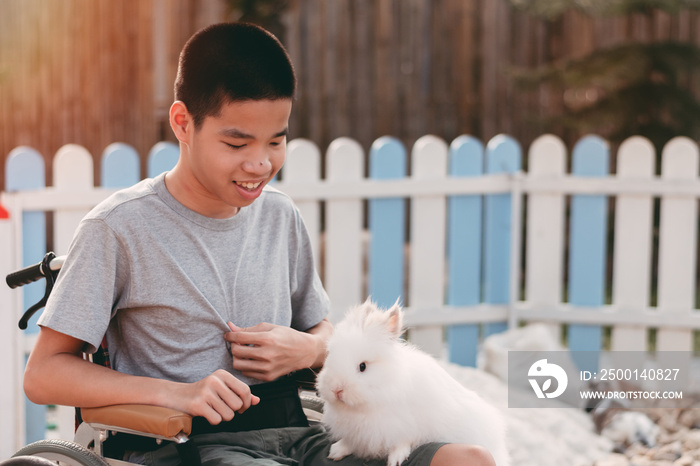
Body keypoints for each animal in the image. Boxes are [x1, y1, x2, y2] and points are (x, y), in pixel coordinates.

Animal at [318, 298, 508, 466]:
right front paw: (336, 451)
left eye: (362, 366)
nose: (336, 390)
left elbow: (402, 442)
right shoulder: (359, 432)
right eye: (330, 356)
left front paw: (396, 459)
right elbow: (352, 442)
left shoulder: (404, 426)